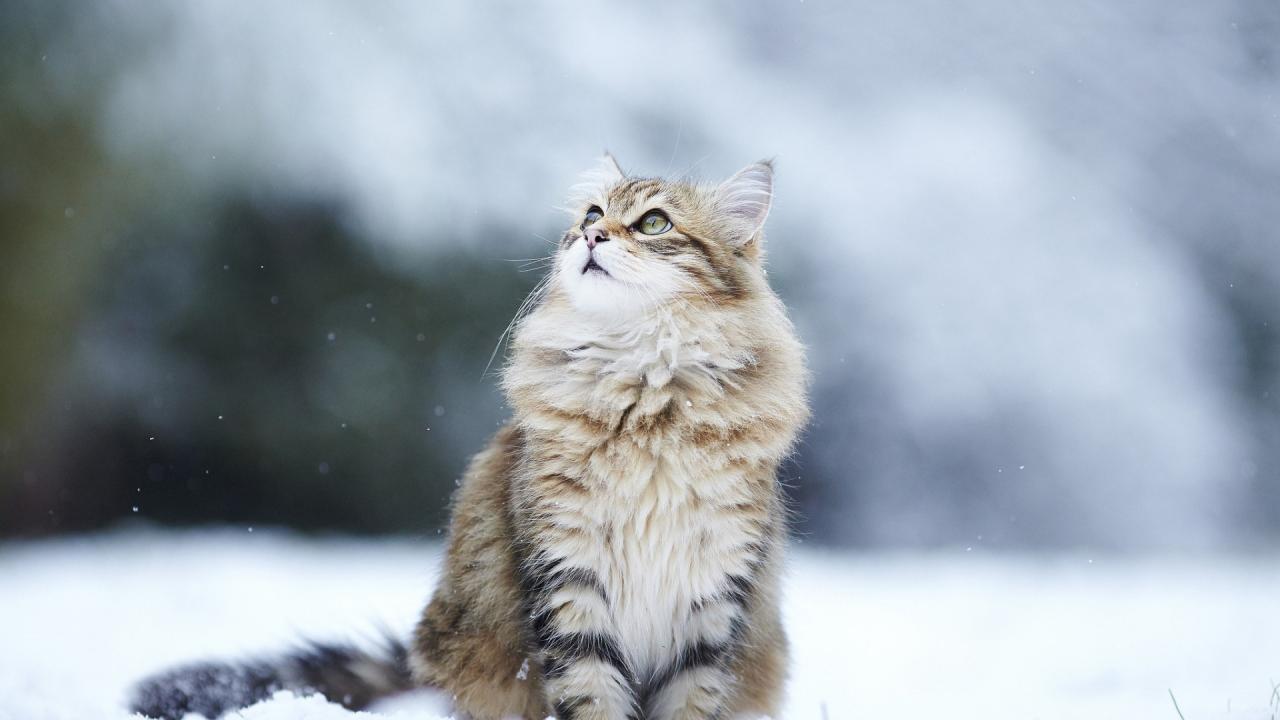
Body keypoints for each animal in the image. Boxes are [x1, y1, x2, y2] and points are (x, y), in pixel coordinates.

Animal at [129, 155, 808, 717]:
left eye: (654, 223)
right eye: (592, 215)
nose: (592, 236)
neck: (645, 400)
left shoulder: (714, 598)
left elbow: (693, 700)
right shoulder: (567, 576)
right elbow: (590, 696)